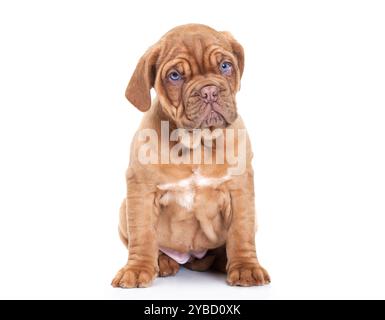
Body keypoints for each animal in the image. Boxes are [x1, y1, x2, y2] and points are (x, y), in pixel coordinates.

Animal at [109, 23, 268, 288]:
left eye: (225, 66)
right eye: (175, 76)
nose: (210, 91)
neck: (198, 143)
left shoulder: (240, 190)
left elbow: (240, 232)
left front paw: (245, 267)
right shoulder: (140, 190)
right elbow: (142, 234)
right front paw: (137, 269)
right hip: (123, 208)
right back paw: (163, 262)